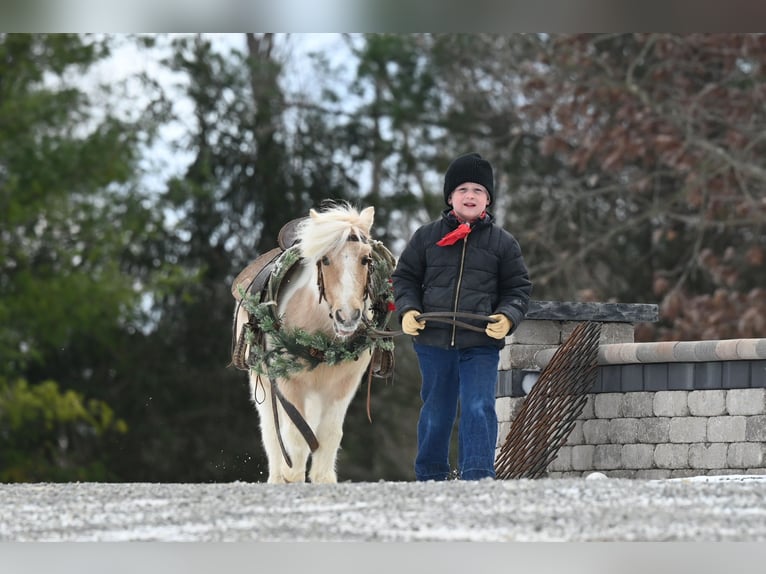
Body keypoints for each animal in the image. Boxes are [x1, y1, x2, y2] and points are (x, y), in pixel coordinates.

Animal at [232, 205, 396, 484]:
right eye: (326, 259)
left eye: (365, 259)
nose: (347, 316)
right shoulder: (287, 383)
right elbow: (296, 437)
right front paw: (291, 476)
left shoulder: (343, 386)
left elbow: (328, 435)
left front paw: (323, 479)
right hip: (261, 378)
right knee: (271, 430)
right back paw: (277, 477)